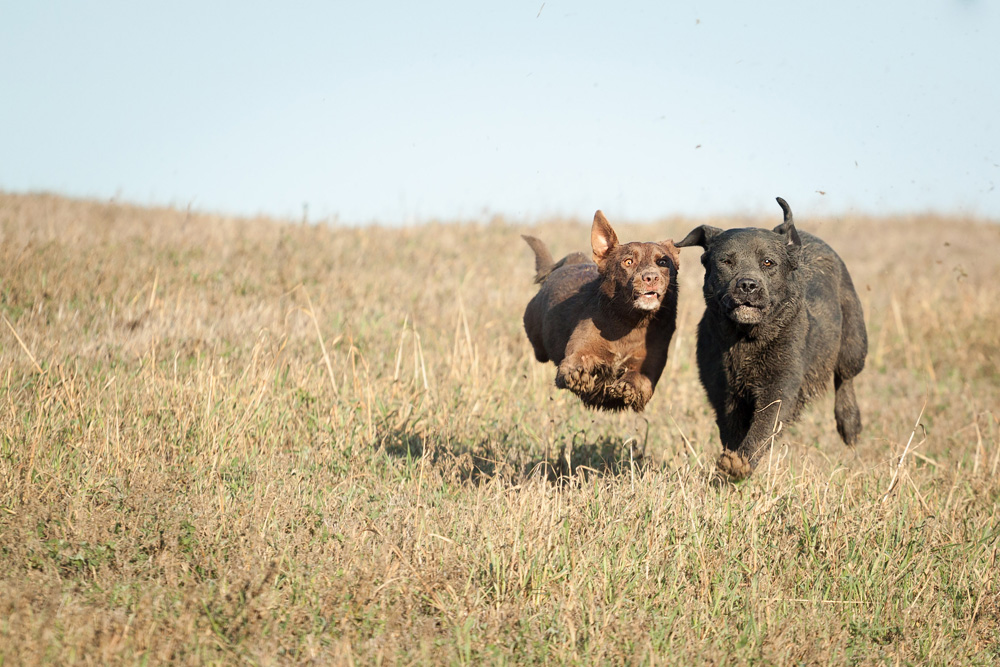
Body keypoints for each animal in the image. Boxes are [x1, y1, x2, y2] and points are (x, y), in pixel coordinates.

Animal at [524, 214, 680, 412]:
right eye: (628, 262)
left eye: (663, 262)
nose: (651, 277)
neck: (629, 322)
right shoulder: (579, 352)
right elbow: (575, 362)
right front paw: (579, 376)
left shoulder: (649, 367)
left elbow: (640, 379)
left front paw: (628, 387)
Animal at [680, 198, 868, 480]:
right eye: (726, 261)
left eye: (768, 262)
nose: (748, 285)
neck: (745, 339)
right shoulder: (723, 392)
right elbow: (732, 431)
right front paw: (731, 464)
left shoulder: (779, 386)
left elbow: (763, 426)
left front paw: (739, 463)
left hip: (854, 344)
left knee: (845, 378)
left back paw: (849, 423)